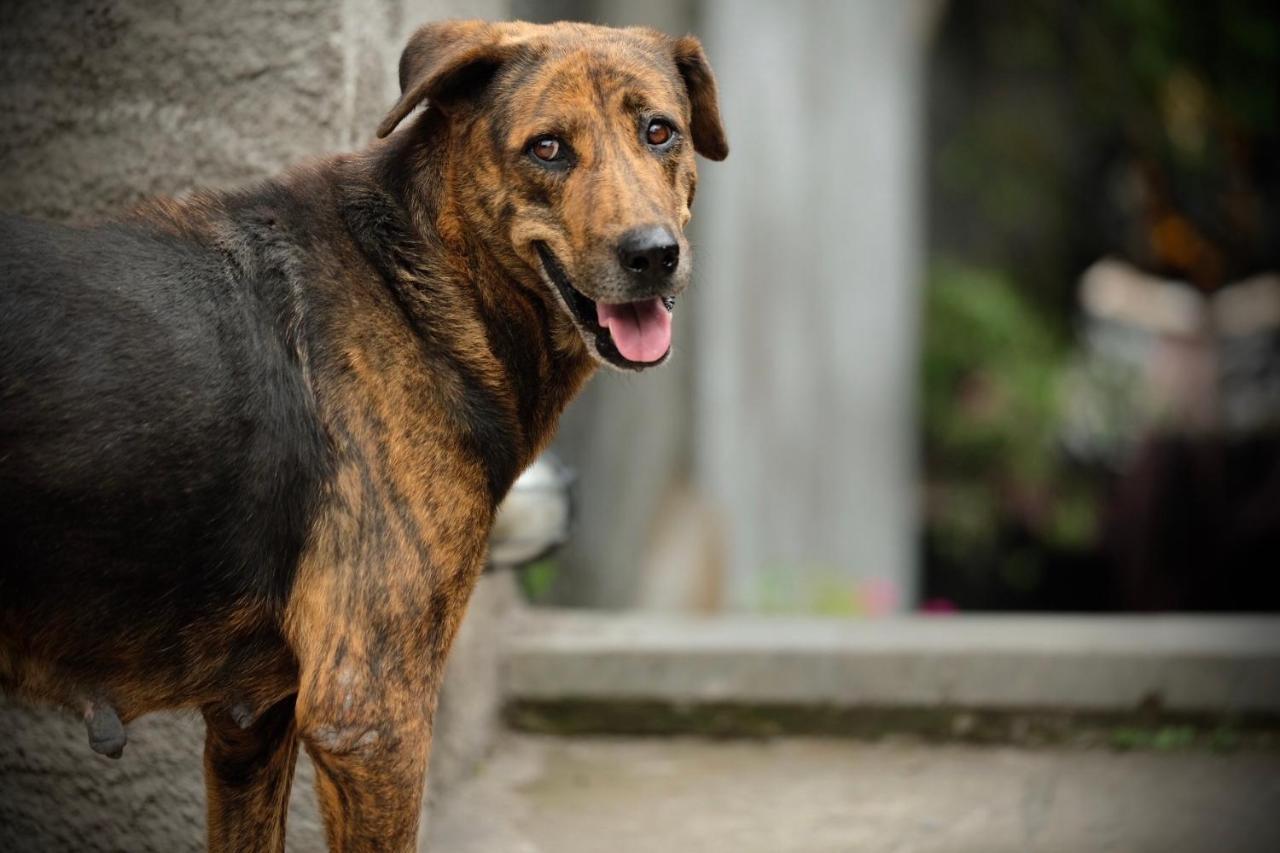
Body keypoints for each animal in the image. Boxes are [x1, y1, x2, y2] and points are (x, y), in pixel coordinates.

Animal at [0, 19, 727, 850]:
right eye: (547, 148)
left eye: (659, 131)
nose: (654, 255)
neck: (424, 279)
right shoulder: (372, 716)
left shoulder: (251, 724)